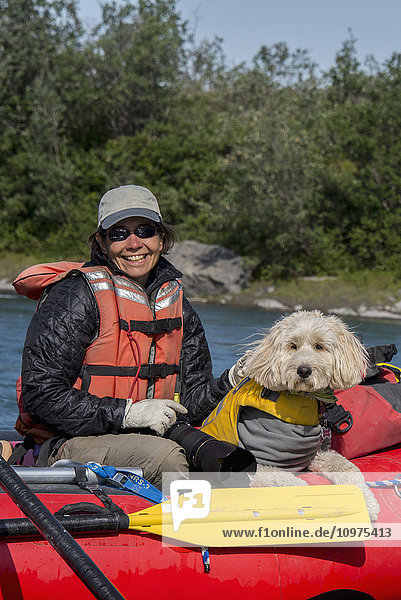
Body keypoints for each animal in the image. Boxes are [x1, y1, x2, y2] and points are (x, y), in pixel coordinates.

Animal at [228, 312, 378, 524]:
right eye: (292, 346)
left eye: (319, 346)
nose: (304, 370)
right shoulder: (258, 464)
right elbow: (289, 483)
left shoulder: (318, 454)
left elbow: (350, 469)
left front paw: (367, 502)